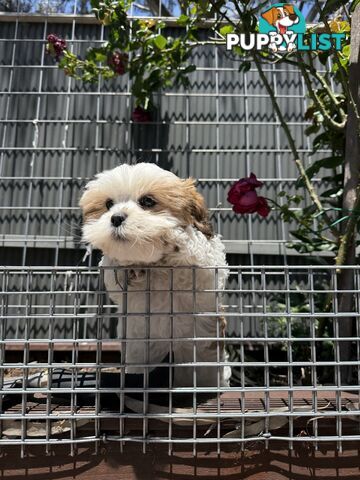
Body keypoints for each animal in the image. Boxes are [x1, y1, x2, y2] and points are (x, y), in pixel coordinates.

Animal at [79, 163, 231, 388]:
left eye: (148, 201)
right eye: (108, 204)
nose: (116, 218)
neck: (156, 265)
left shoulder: (208, 270)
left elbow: (194, 247)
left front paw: (177, 237)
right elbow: (115, 266)